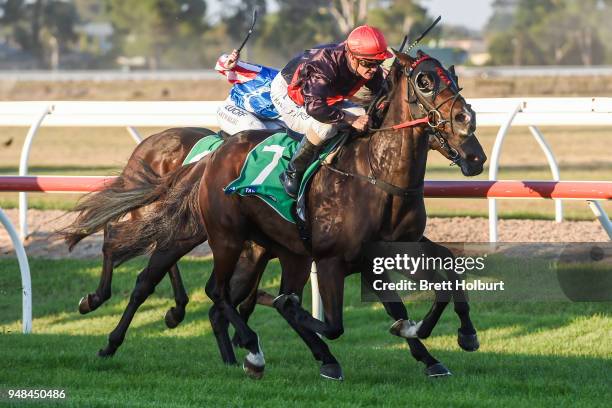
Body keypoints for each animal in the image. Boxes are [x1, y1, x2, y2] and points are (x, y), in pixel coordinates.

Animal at [112, 50, 488, 380]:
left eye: (454, 78)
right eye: (424, 81)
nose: (469, 132)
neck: (376, 175)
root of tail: (214, 154)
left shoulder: (390, 251)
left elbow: (441, 278)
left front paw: (448, 342)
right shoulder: (331, 260)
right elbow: (333, 324)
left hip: (279, 252)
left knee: (223, 296)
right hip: (226, 237)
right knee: (211, 290)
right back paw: (250, 349)